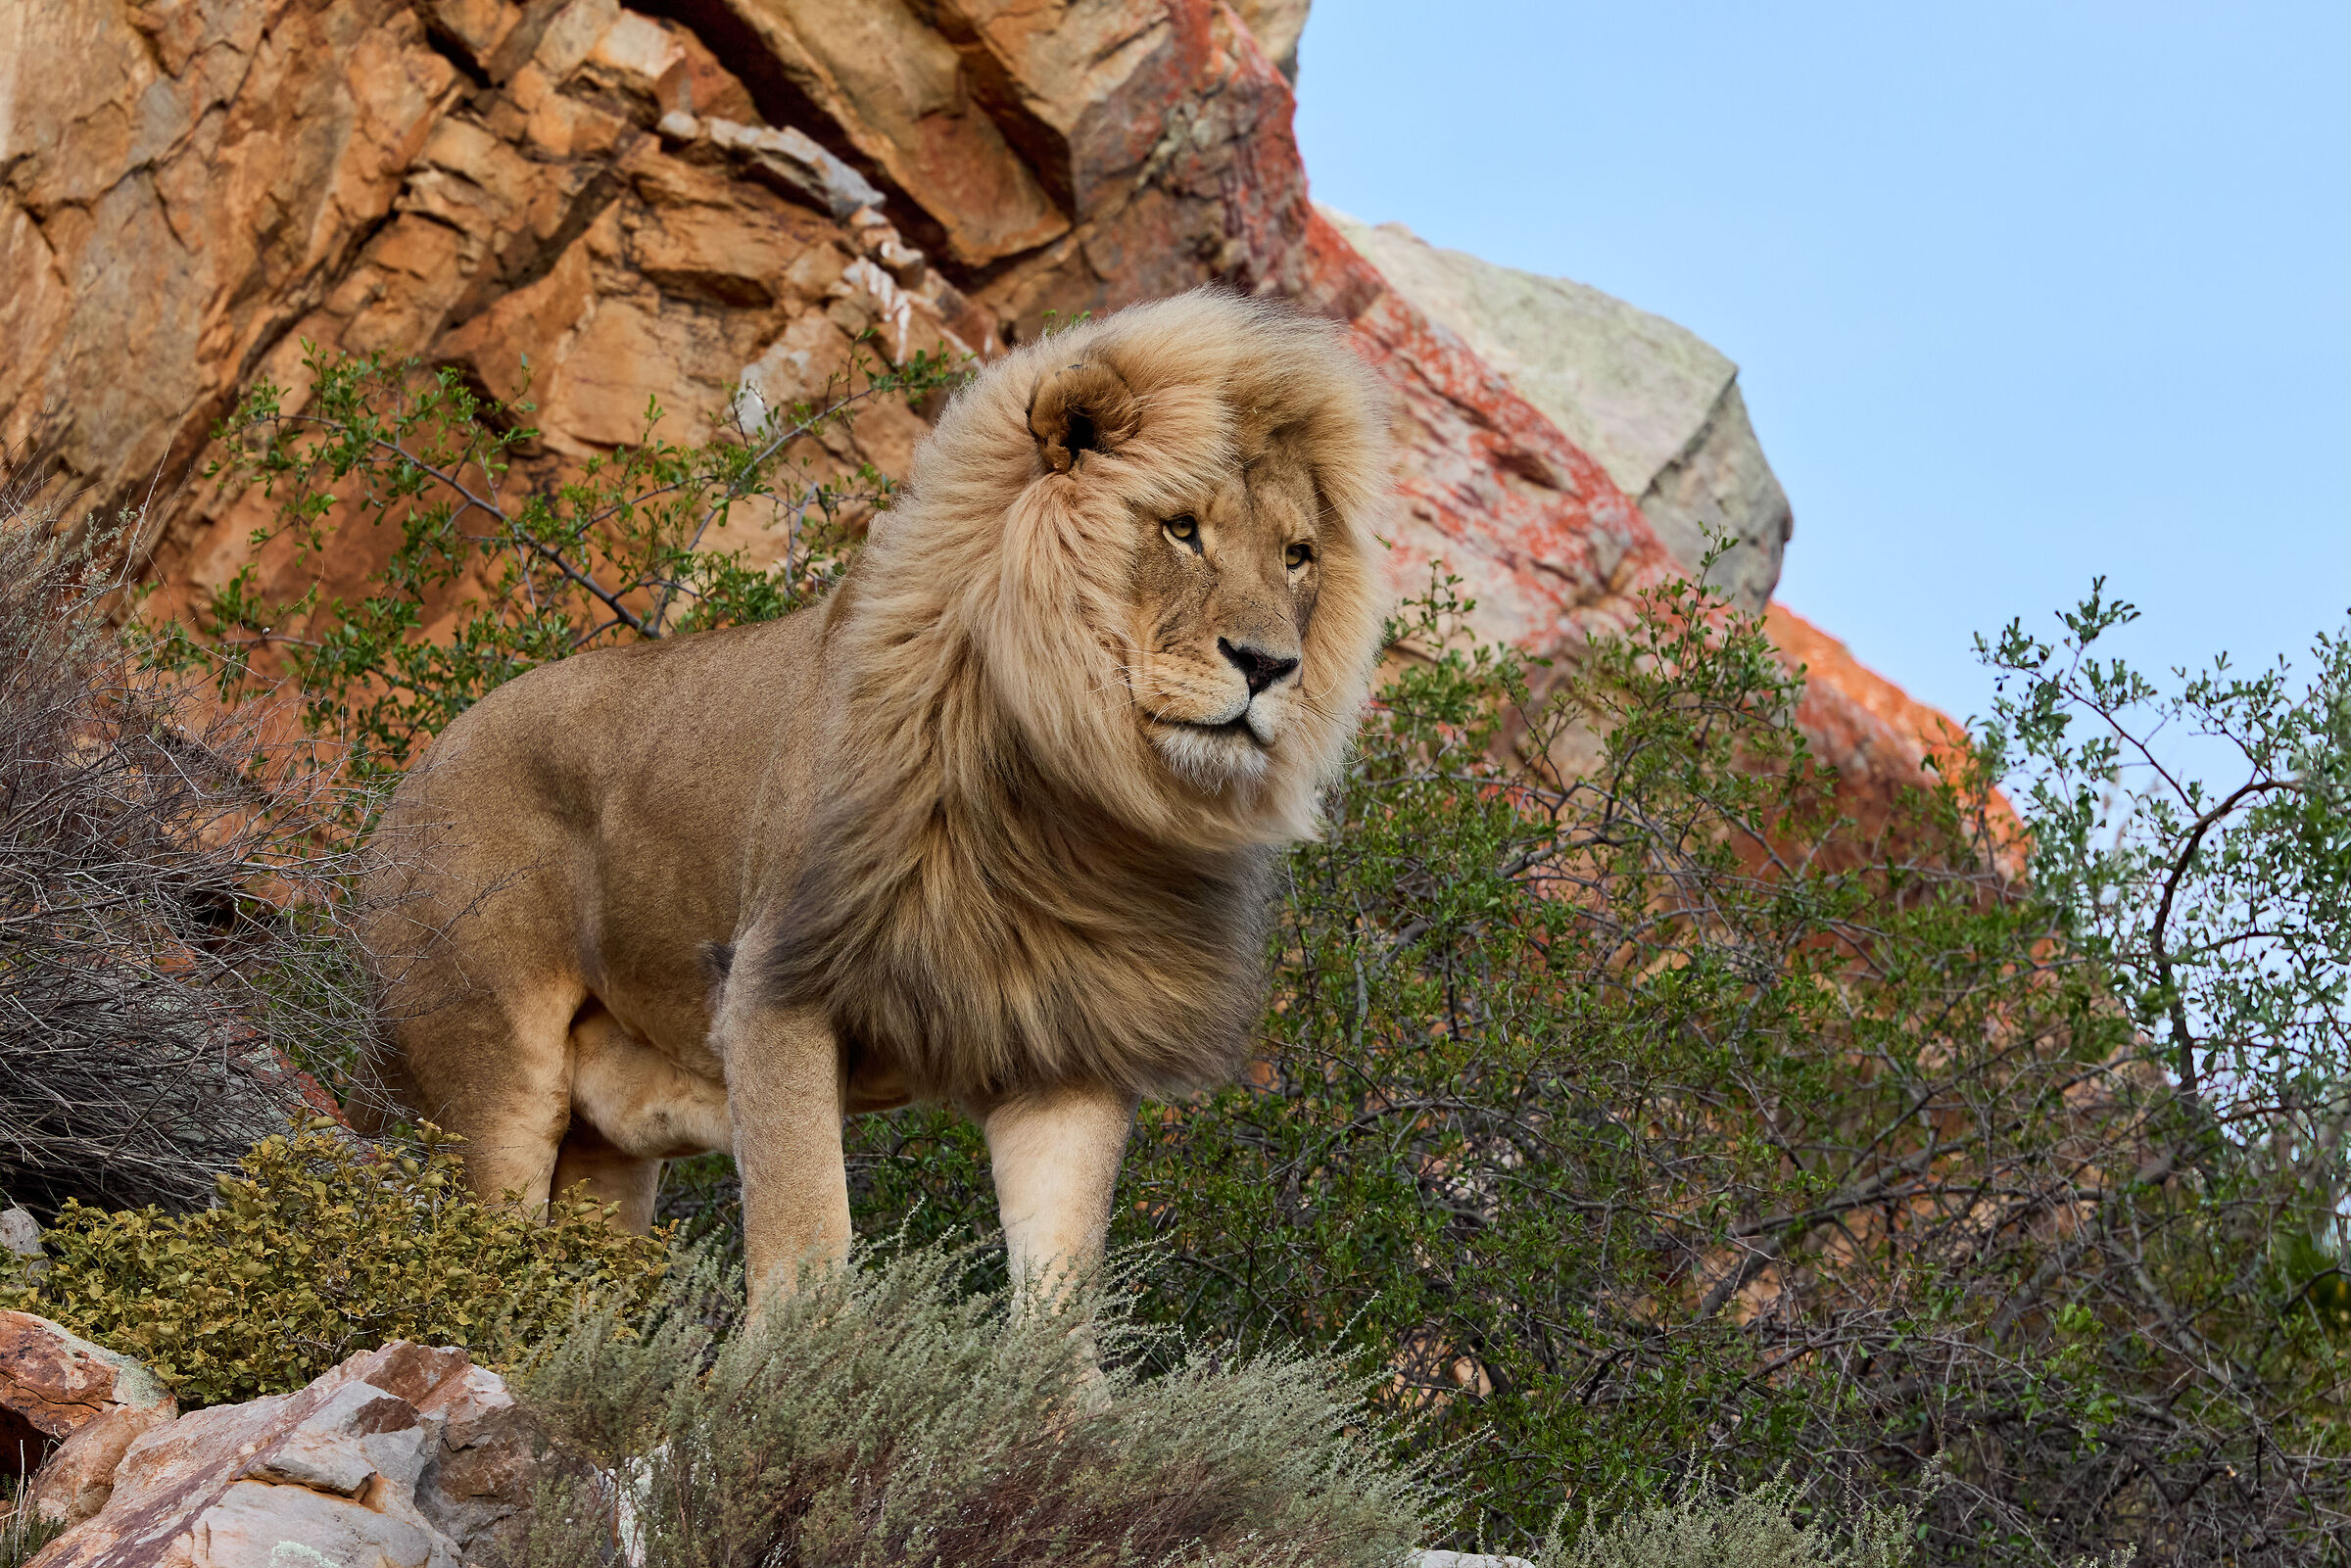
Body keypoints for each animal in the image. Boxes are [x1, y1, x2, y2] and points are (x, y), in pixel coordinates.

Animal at [361, 290, 1392, 1307]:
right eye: (1181, 527)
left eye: (1297, 555)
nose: (1269, 665)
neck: (1069, 799)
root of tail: (420, 765)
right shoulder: (772, 984)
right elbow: (808, 1242)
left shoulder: (1069, 1044)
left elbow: (1061, 1289)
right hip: (489, 1079)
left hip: (606, 1147)